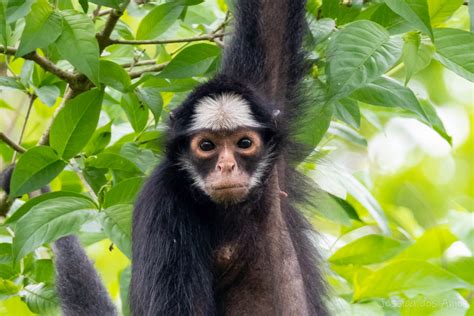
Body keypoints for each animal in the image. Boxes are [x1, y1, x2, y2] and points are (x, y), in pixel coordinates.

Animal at [51, 0, 330, 314]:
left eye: (244, 143)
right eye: (207, 146)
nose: (226, 165)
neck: (229, 208)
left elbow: (272, 17)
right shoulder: (163, 201)